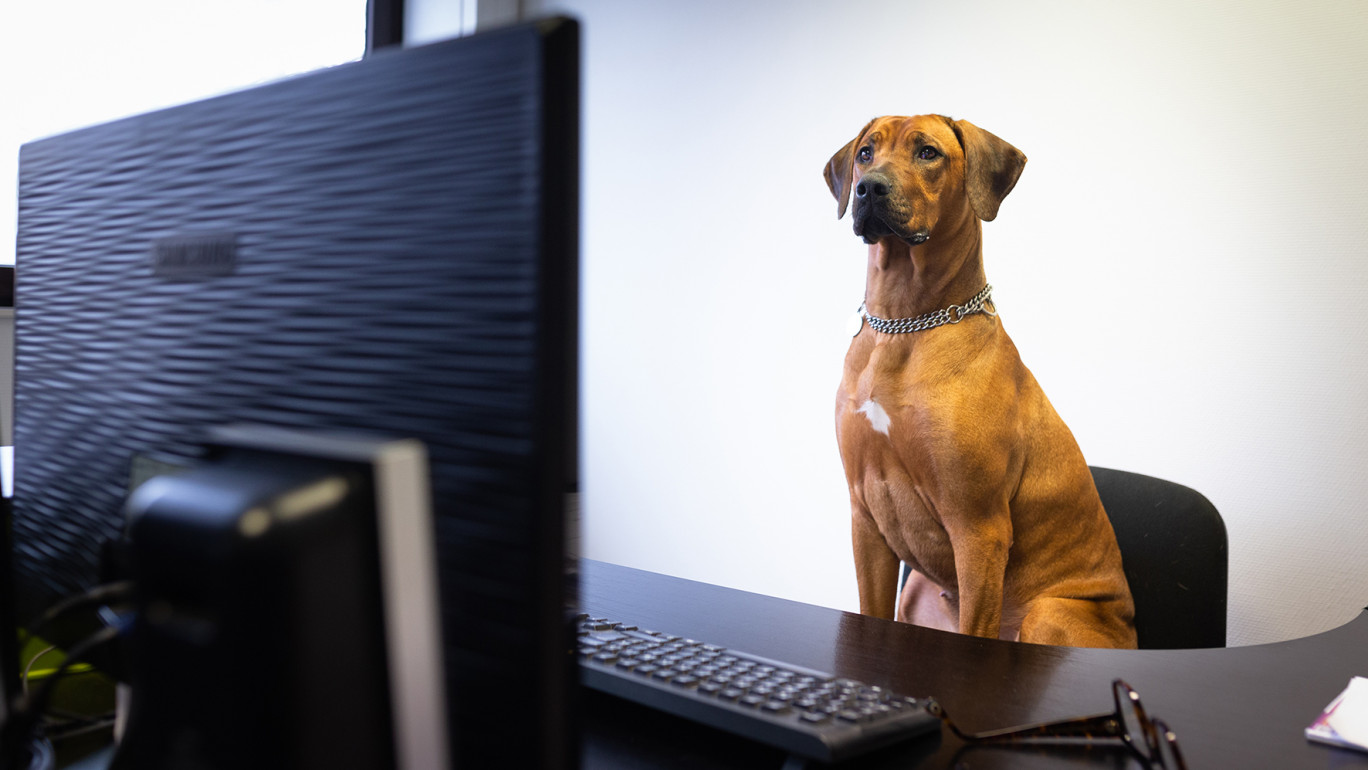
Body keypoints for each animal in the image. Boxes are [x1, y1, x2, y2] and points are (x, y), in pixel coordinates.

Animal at [826, 114, 1138, 648]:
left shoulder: (978, 530)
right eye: (866, 153)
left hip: (1048, 613)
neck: (906, 323)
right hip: (918, 591)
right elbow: (870, 611)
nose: (869, 188)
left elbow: (976, 628)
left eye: (928, 153)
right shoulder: (865, 519)